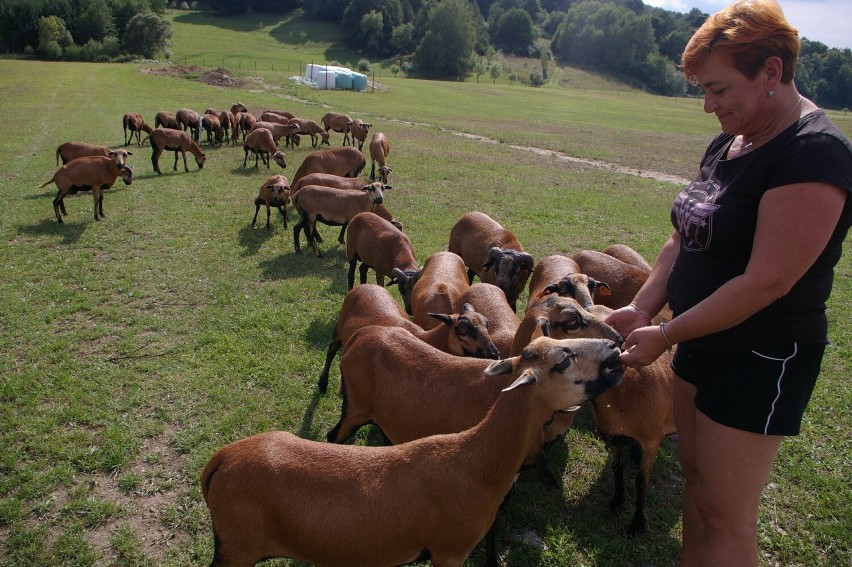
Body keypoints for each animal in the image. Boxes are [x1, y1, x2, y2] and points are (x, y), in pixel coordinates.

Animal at [316, 284, 496, 394]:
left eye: (487, 324)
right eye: (462, 330)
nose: (495, 354)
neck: (427, 338)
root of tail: (365, 285)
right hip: (339, 329)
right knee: (331, 350)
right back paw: (322, 383)